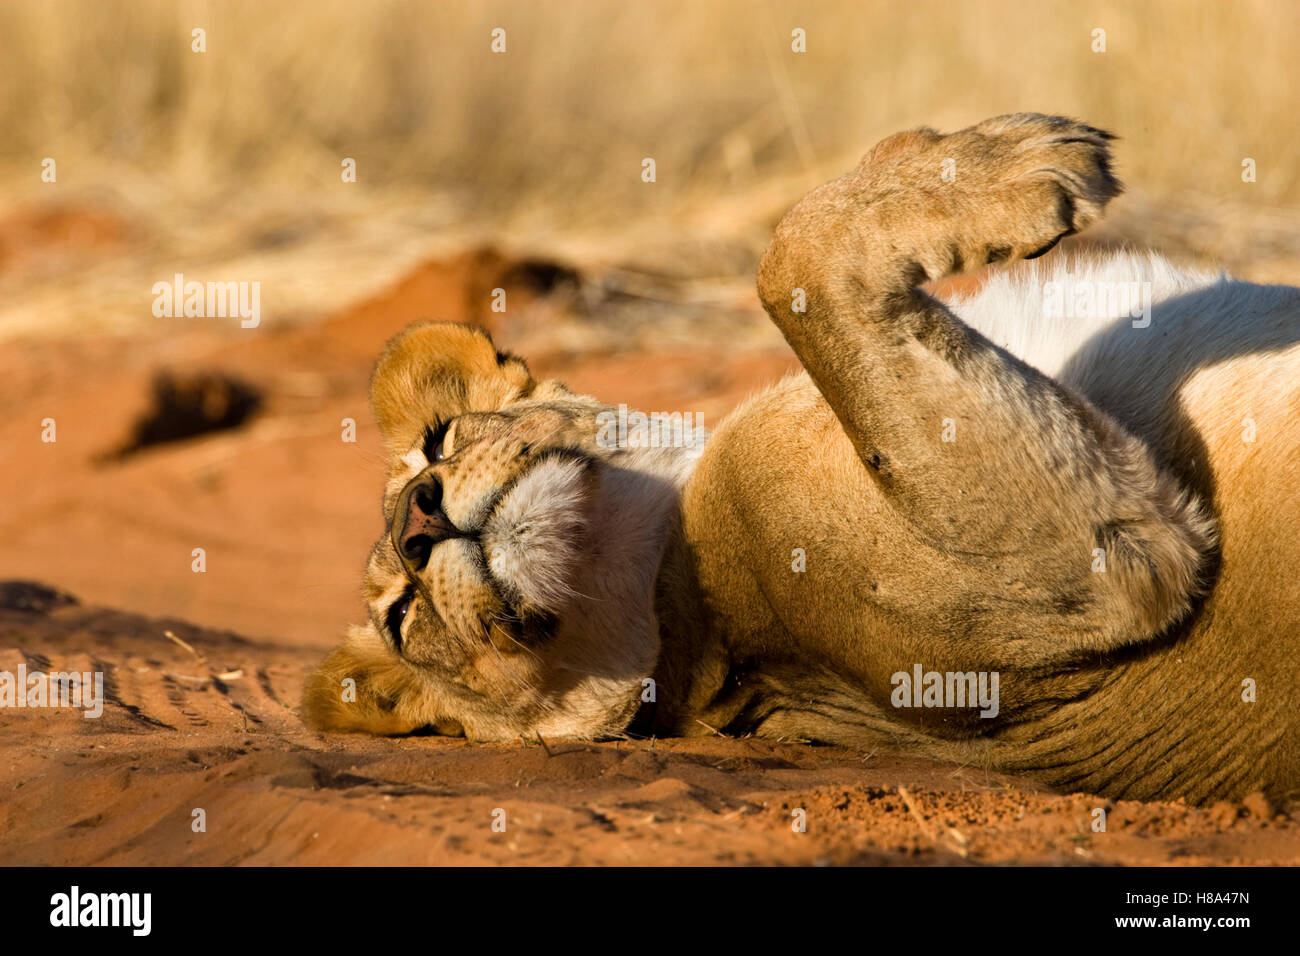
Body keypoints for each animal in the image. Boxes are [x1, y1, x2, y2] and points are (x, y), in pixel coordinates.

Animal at [303, 114, 1299, 807]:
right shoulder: (1108, 570)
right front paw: (1013, 162)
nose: (420, 517)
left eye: (439, 442)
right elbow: (790, 262)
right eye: (402, 618)